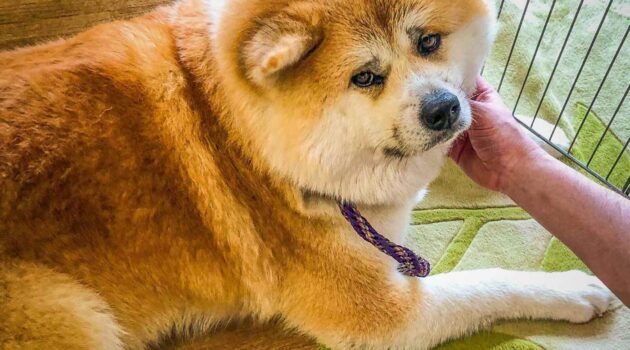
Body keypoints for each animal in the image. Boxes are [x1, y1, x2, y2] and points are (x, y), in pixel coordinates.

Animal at [0, 0, 616, 350]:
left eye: (428, 42)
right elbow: (485, 283)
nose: (443, 109)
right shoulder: (384, 316)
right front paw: (570, 287)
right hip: (75, 315)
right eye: (365, 77)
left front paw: (542, 132)